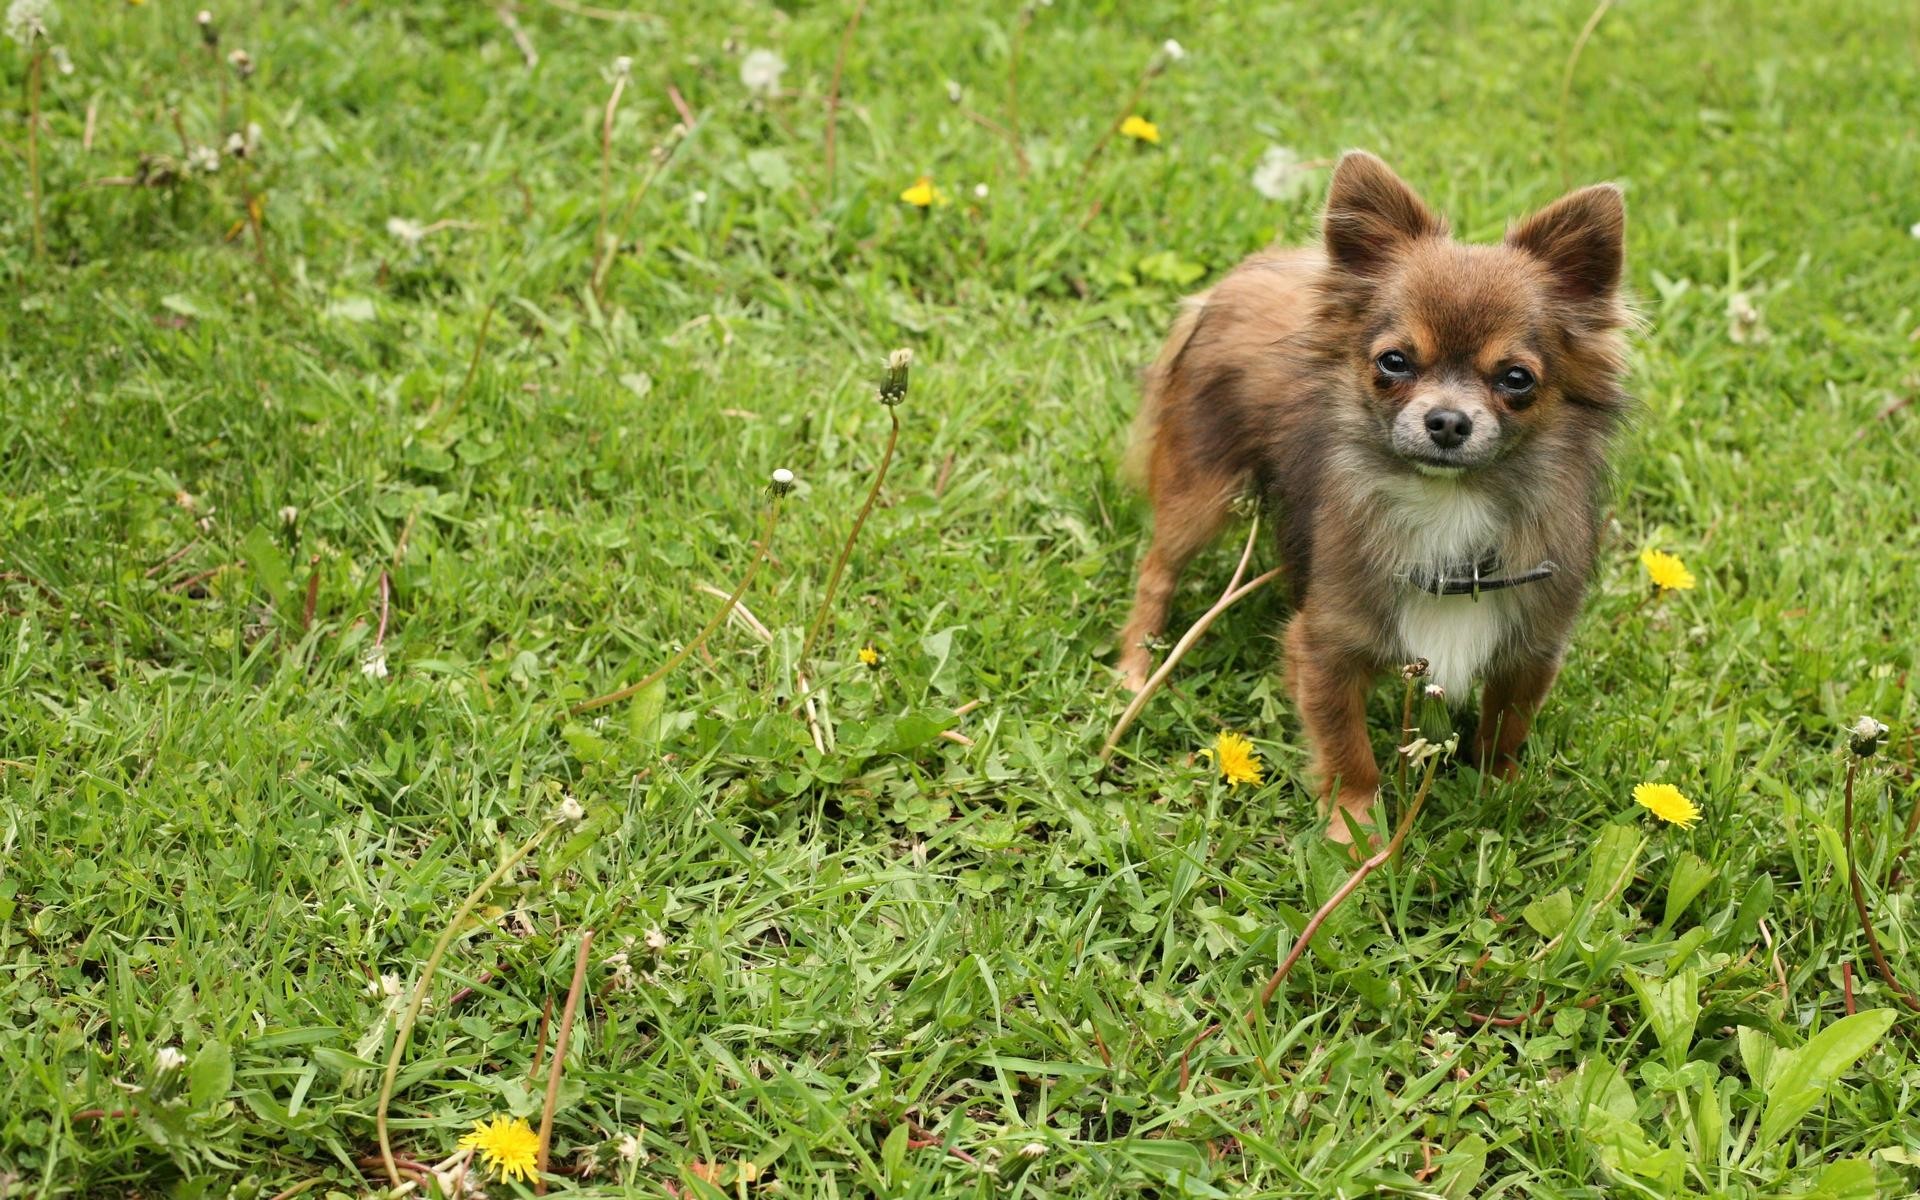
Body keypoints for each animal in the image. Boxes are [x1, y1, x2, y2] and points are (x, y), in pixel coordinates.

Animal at [1121, 149, 1628, 837]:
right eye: (1394, 362)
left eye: (1517, 379)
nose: (1447, 422)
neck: (1449, 505)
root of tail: (1240, 276)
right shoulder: (1326, 648)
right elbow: (1347, 748)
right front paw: (1355, 829)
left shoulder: (1530, 651)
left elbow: (1505, 729)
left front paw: (1500, 790)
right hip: (1200, 490)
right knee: (1157, 569)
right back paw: (1133, 670)